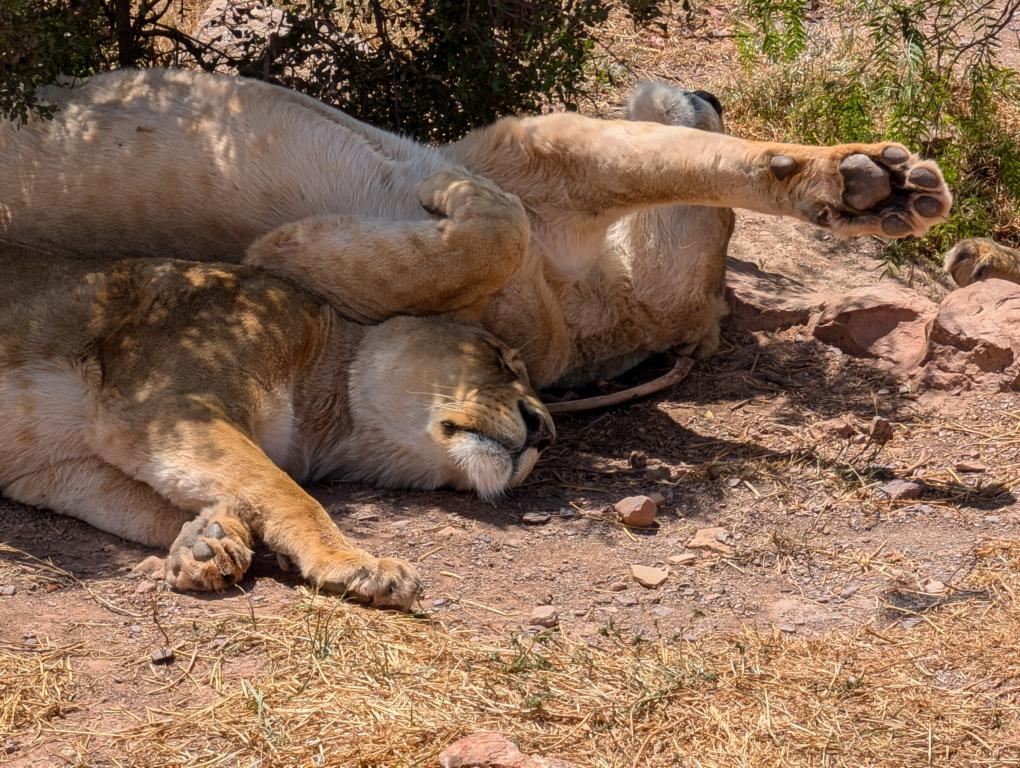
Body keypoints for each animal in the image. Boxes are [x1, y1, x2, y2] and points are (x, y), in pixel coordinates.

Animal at [0, 69, 952, 389]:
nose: (712, 91)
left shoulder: (522, 164)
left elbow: (495, 228)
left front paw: (286, 249)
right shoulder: (553, 157)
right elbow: (715, 163)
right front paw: (866, 184)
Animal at [0, 171, 552, 608]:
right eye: (499, 358)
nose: (544, 431)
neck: (328, 426)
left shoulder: (62, 468)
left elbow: (160, 501)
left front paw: (205, 542)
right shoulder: (166, 405)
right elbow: (283, 490)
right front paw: (353, 562)